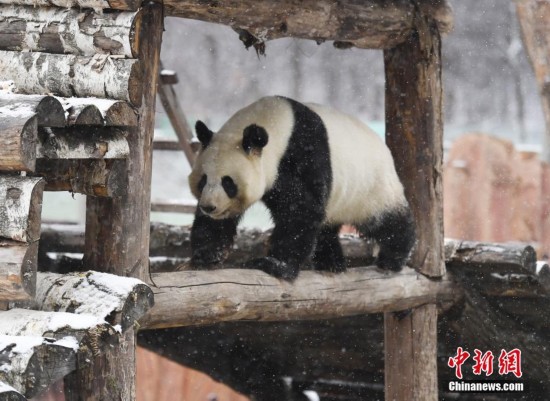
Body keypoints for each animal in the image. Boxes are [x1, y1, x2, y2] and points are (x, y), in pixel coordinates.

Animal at [188, 95, 416, 280]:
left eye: (228, 182)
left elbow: (301, 211)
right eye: (203, 180)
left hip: (371, 186)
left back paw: (393, 258)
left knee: (387, 221)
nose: (209, 207)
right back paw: (332, 263)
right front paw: (205, 256)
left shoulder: (303, 154)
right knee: (326, 227)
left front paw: (275, 265)